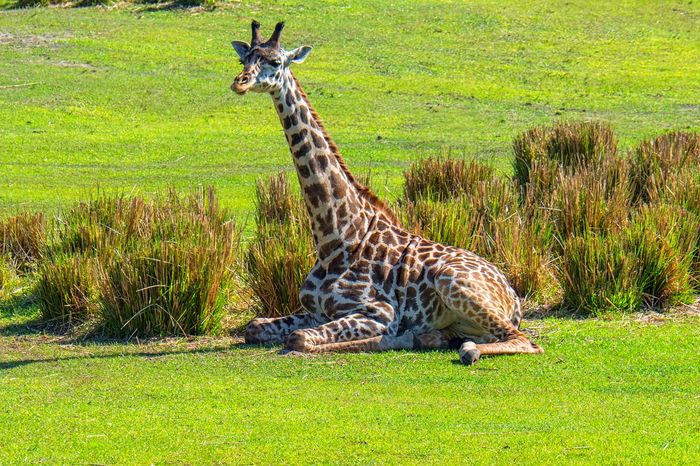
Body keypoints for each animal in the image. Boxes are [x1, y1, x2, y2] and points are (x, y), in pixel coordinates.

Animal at [230, 20, 540, 364]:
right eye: (244, 59)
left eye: (275, 61)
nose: (240, 83)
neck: (335, 238)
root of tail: (513, 296)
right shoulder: (314, 311)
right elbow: (254, 326)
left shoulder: (379, 311)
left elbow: (300, 339)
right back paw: (427, 337)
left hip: (453, 281)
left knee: (524, 341)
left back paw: (462, 349)